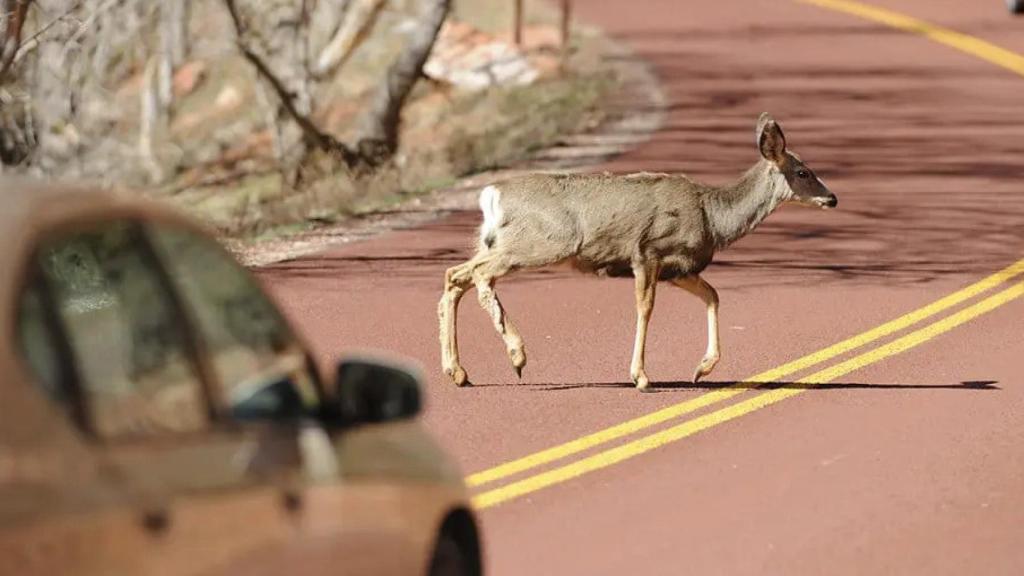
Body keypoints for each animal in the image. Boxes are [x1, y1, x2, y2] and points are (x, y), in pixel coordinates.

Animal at [436, 112, 835, 389]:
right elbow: (645, 309)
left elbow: (713, 296)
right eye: (803, 172)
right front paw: (640, 376)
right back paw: (517, 354)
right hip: (541, 241)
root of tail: (492, 194)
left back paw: (458, 372)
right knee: (479, 275)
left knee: (455, 275)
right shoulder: (648, 252)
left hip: (495, 242)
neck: (711, 216)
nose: (832, 198)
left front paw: (702, 368)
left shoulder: (681, 268)